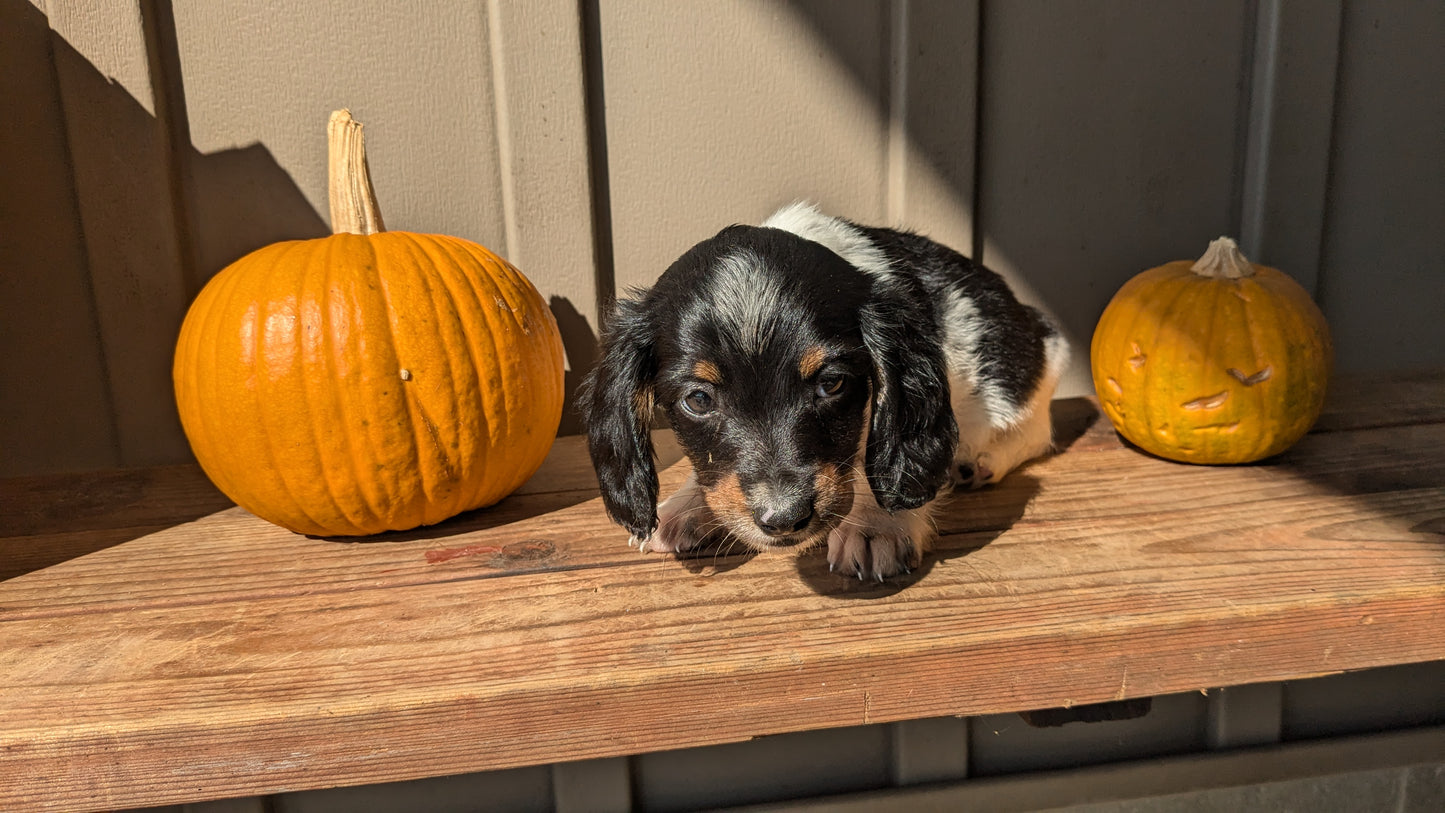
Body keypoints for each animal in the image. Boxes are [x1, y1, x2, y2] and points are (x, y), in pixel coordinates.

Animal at [580, 202, 1069, 577]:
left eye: (831, 383)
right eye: (698, 400)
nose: (784, 520)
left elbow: (876, 441)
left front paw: (876, 526)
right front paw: (684, 506)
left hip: (1029, 371)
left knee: (1036, 429)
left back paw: (978, 461)